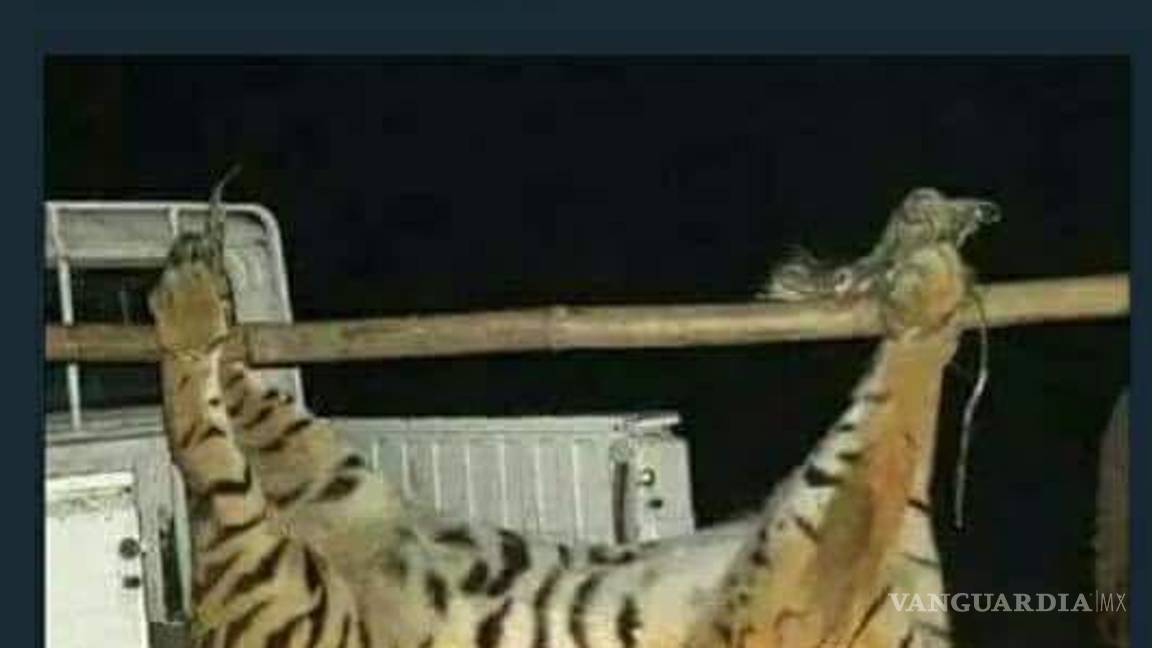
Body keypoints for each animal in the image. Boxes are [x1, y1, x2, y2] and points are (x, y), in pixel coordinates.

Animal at [147, 185, 995, 647]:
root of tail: (204, 621)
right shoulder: (811, 572)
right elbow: (899, 422)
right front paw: (927, 273)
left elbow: (902, 431)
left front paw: (924, 260)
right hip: (275, 572)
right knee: (198, 444)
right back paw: (189, 298)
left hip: (335, 500)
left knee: (231, 432)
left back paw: (203, 278)